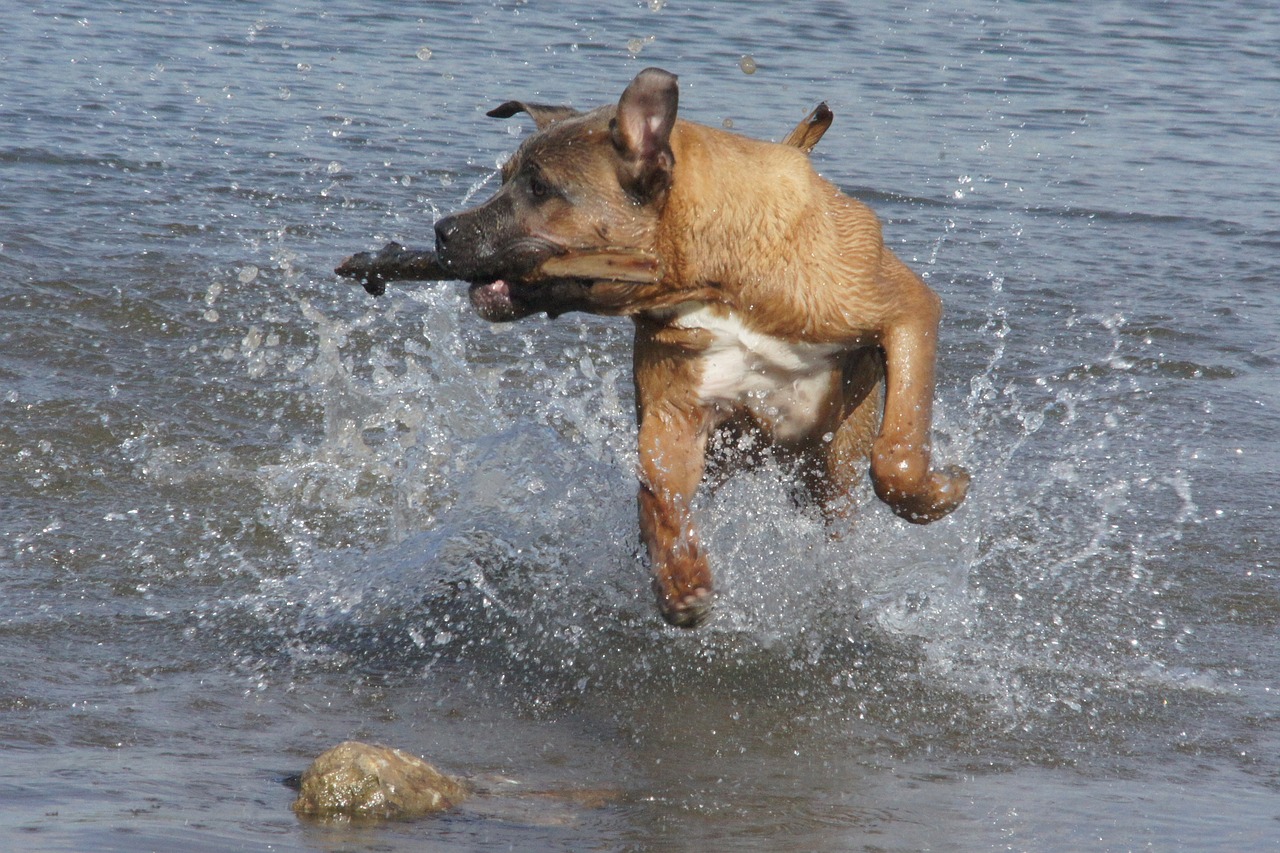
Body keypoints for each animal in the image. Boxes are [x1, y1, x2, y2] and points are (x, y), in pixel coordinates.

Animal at [432, 68, 967, 625]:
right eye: (502, 178)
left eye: (540, 188)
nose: (442, 232)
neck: (715, 278)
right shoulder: (674, 414)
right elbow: (660, 496)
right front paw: (680, 579)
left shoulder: (908, 311)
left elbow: (897, 453)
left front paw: (940, 493)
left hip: (832, 459)